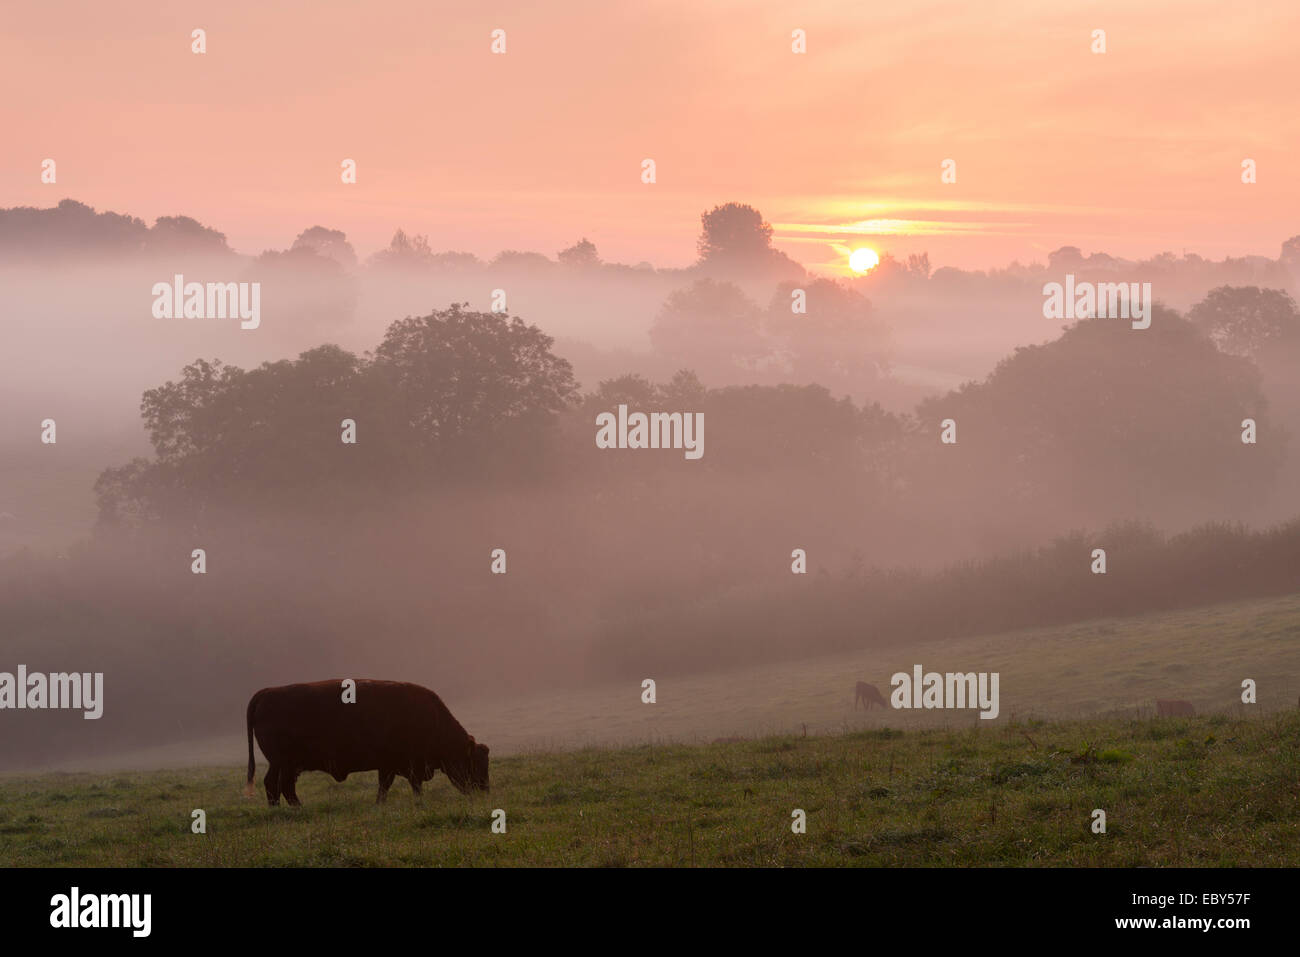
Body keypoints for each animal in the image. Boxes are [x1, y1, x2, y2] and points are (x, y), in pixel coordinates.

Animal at [243, 681, 488, 806]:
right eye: (474, 762)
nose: (484, 789)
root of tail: (266, 692)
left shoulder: (389, 765)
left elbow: (387, 785)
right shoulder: (401, 764)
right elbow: (404, 784)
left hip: (287, 765)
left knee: (281, 785)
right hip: (283, 763)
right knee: (275, 784)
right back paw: (289, 808)